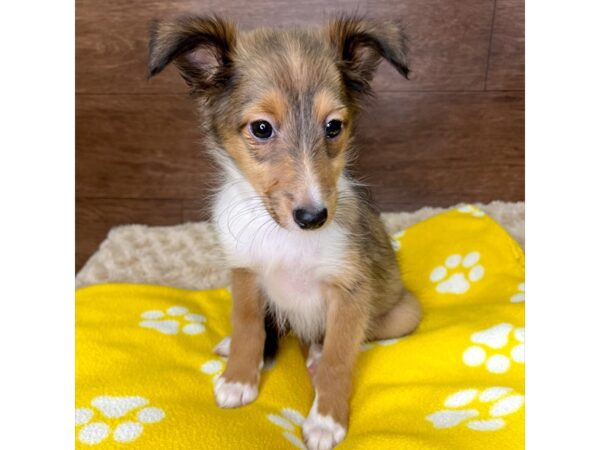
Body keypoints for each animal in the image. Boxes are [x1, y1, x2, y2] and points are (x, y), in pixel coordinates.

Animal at [149, 15, 422, 450]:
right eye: (261, 128)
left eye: (333, 127)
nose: (313, 217)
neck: (286, 240)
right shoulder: (245, 273)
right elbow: (248, 326)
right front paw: (239, 378)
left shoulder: (351, 291)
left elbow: (339, 358)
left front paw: (326, 420)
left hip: (403, 313)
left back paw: (315, 352)